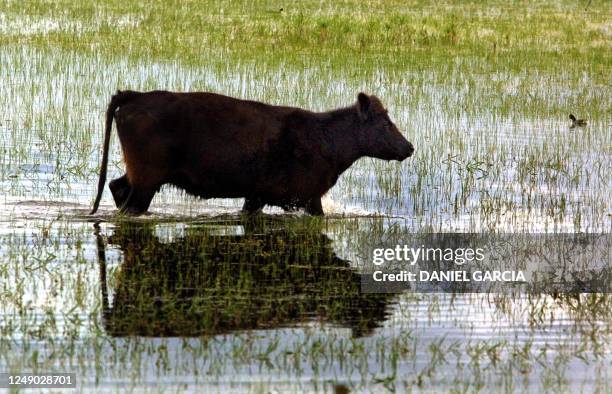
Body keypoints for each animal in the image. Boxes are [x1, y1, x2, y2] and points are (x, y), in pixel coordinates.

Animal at [89, 90, 416, 215]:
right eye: (386, 123)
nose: (410, 147)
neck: (327, 138)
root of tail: (134, 95)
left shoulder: (257, 196)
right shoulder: (307, 197)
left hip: (139, 175)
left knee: (116, 185)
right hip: (147, 179)